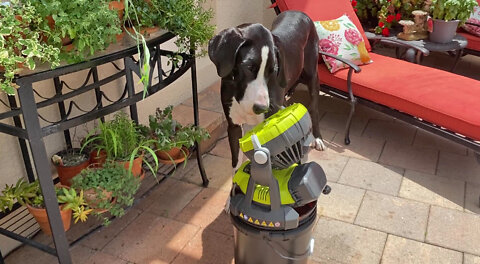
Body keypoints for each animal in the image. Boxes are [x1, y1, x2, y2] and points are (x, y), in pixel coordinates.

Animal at [208, 10, 324, 169]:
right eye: (248, 67)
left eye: (273, 70)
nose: (261, 108)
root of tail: (299, 12)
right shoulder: (233, 126)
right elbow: (236, 162)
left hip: (312, 75)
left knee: (314, 108)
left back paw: (317, 138)